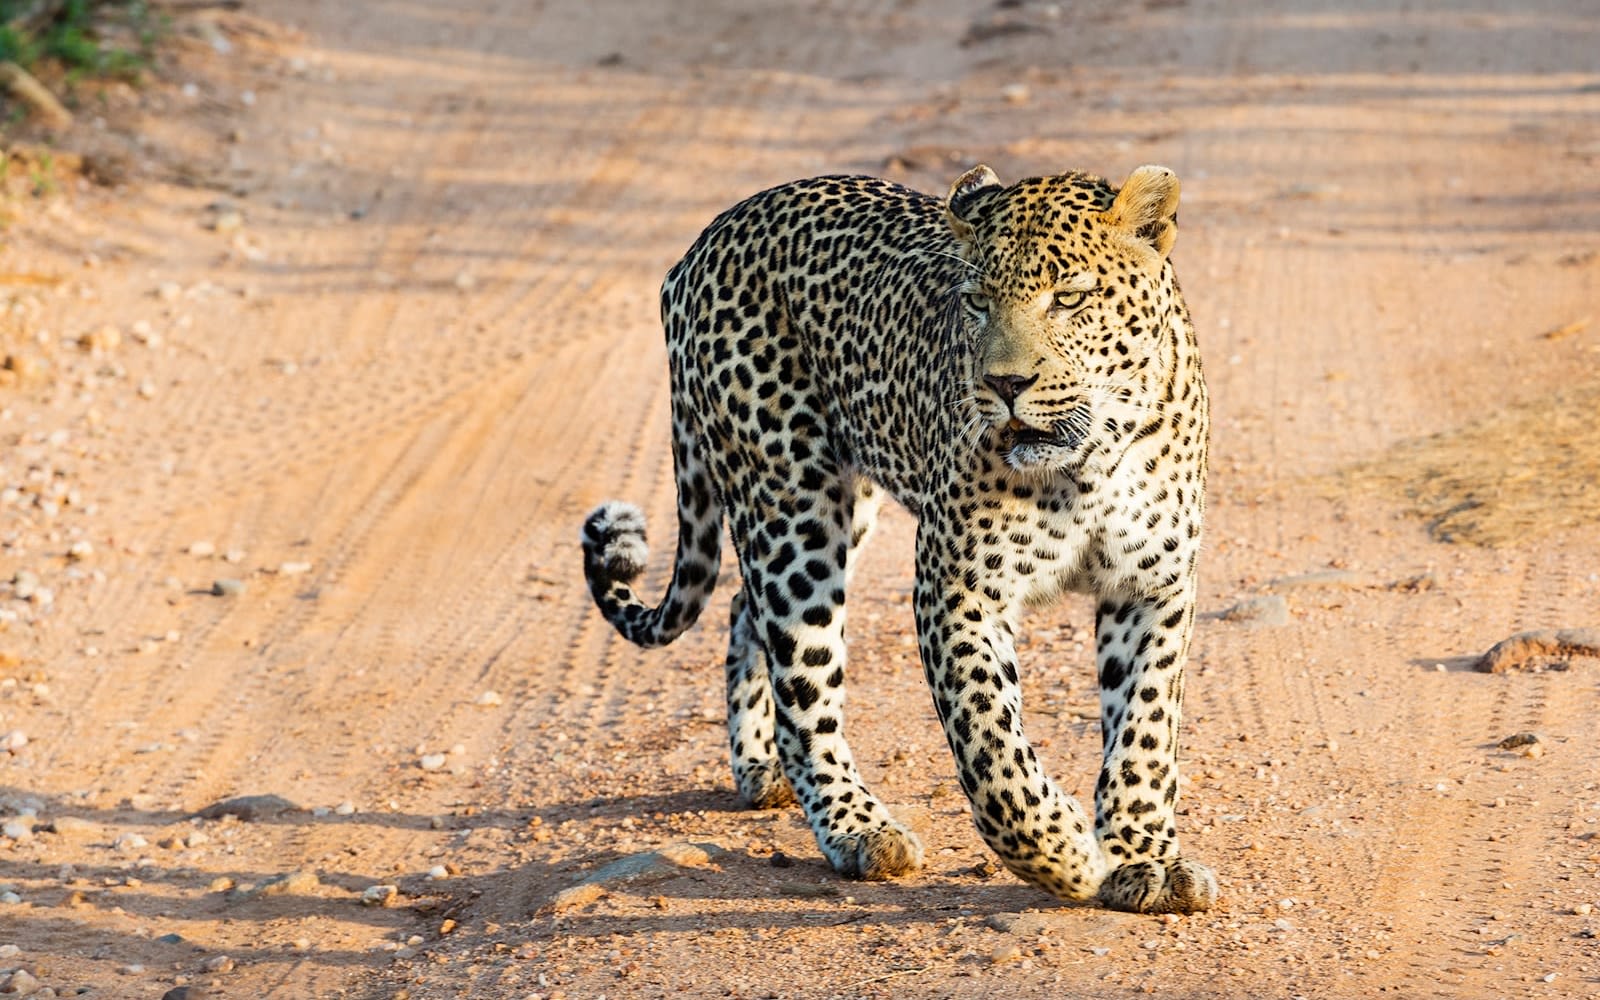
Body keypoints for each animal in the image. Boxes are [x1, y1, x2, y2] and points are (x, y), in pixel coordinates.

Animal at [582, 161, 1216, 915]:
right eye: (975, 302)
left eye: (1069, 298)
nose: (1004, 384)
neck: (1091, 457)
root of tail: (707, 239)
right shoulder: (959, 587)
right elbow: (990, 745)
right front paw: (1064, 852)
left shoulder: (1152, 586)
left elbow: (1145, 728)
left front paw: (1144, 856)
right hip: (792, 508)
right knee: (802, 678)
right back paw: (856, 827)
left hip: (839, 506)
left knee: (744, 610)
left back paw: (760, 767)